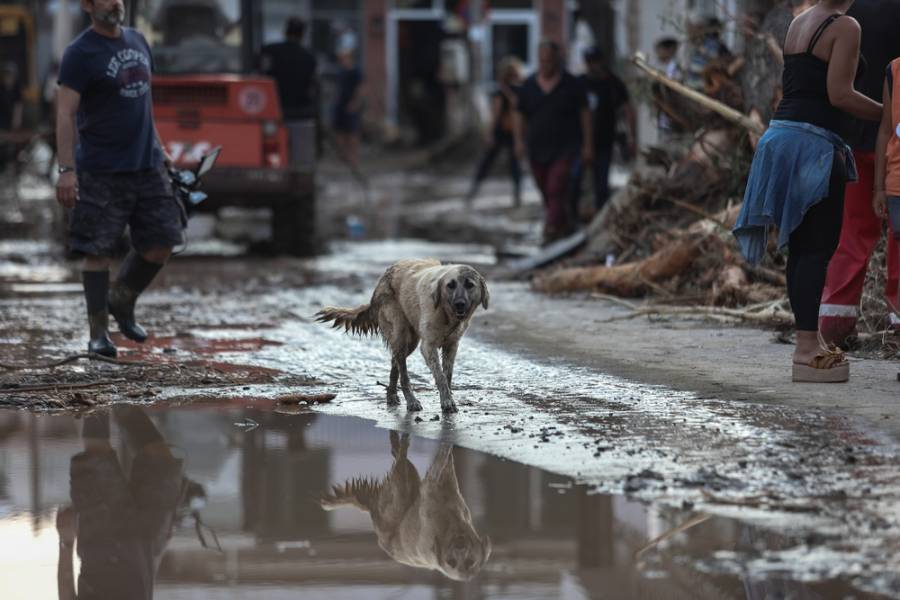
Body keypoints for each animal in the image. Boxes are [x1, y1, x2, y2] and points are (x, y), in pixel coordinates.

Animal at [312, 258, 488, 412]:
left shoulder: (452, 345)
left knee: (394, 362)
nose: (460, 304)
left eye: (470, 285)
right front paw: (447, 402)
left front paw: (448, 398)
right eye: (450, 285)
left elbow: (447, 374)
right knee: (403, 373)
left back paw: (391, 395)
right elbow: (440, 376)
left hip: (409, 342)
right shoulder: (428, 346)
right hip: (400, 334)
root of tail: (381, 280)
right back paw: (411, 402)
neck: (447, 315)